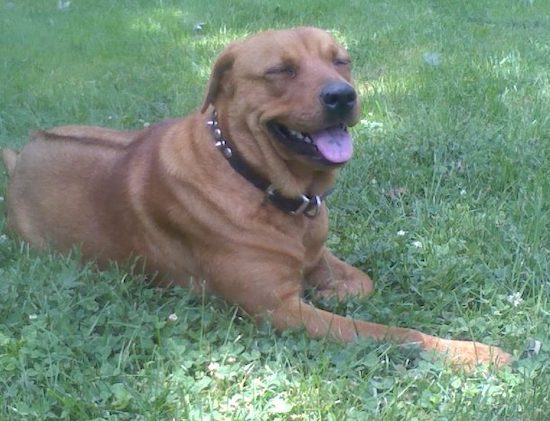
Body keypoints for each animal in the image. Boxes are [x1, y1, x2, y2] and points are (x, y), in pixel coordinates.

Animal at [2, 27, 516, 368]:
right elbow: (397, 334)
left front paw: (333, 290)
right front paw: (474, 352)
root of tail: (21, 154)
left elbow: (362, 283)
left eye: (341, 61)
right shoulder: (279, 311)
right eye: (280, 70)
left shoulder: (317, 257)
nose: (342, 96)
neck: (257, 180)